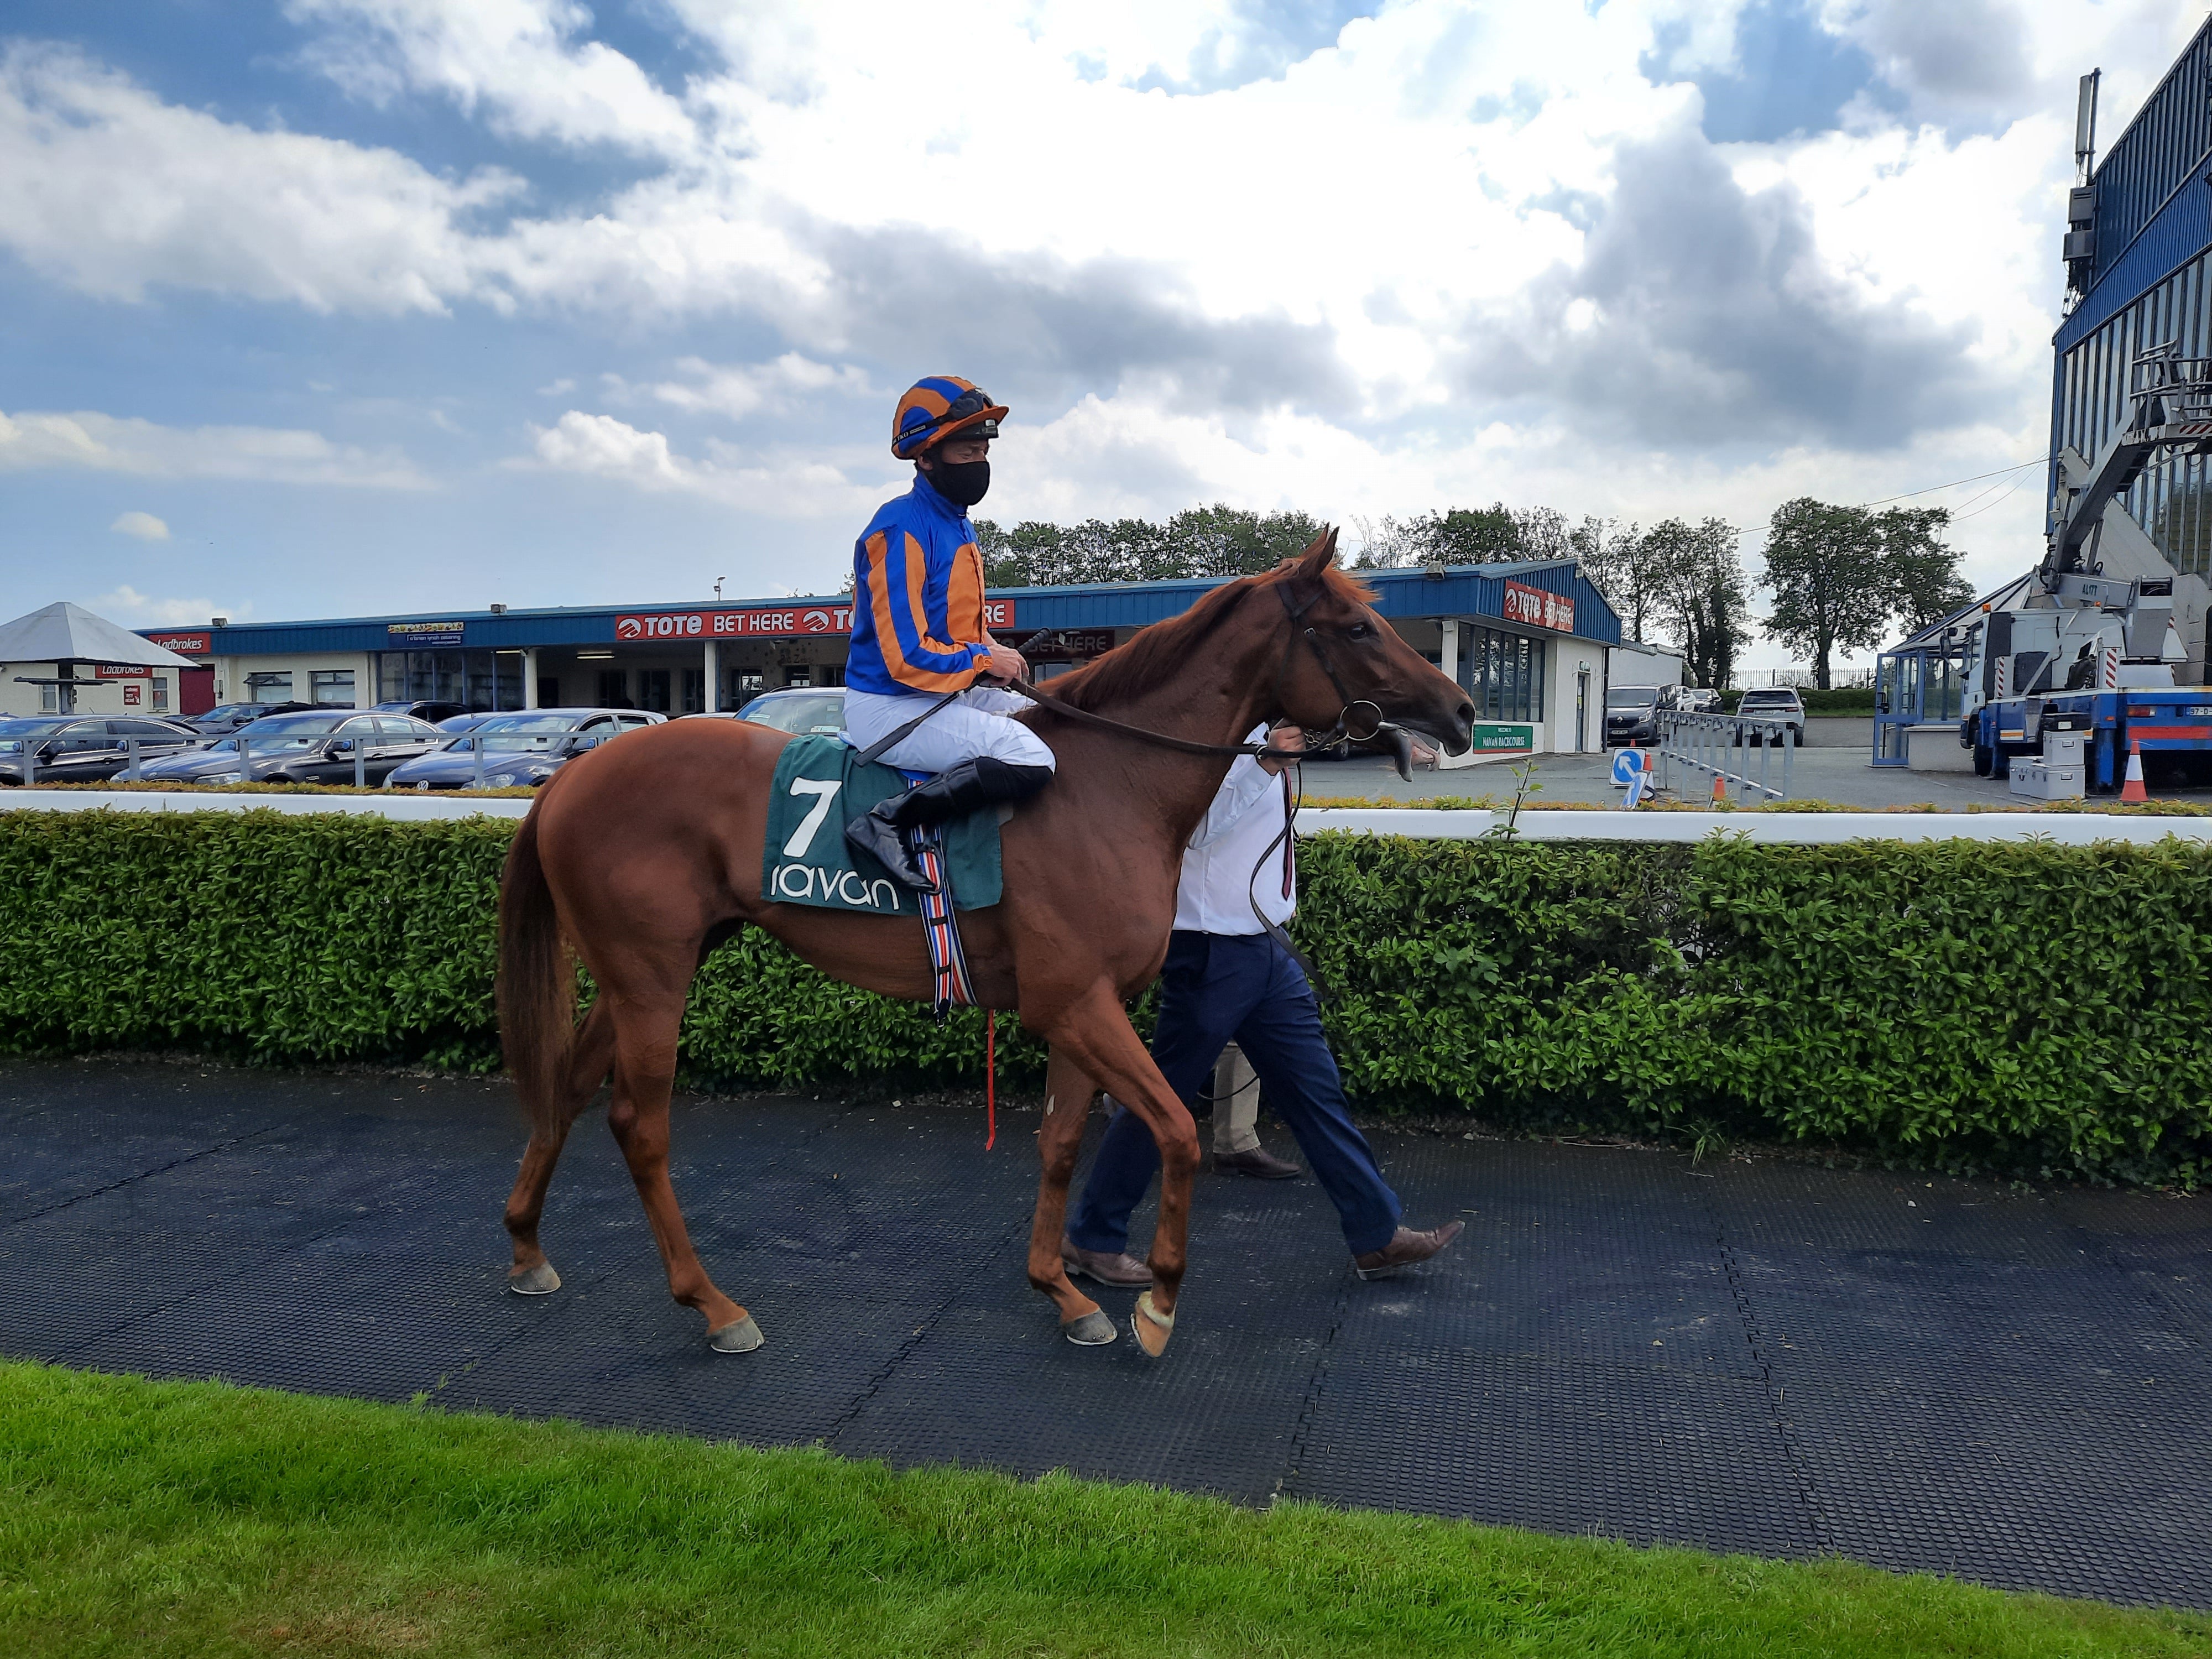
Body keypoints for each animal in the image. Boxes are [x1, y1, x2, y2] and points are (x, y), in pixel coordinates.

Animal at [498, 535, 1469, 1363]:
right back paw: (714, 1305)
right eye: (1358, 627)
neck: (1108, 785)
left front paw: (1068, 1295)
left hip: (646, 970)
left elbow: (1064, 1143)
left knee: (568, 1087)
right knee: (639, 1124)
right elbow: (1174, 1131)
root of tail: (570, 778)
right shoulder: (1074, 1002)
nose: (1460, 710)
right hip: (652, 975)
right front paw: (1157, 1305)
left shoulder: (1085, 1006)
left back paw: (527, 1250)